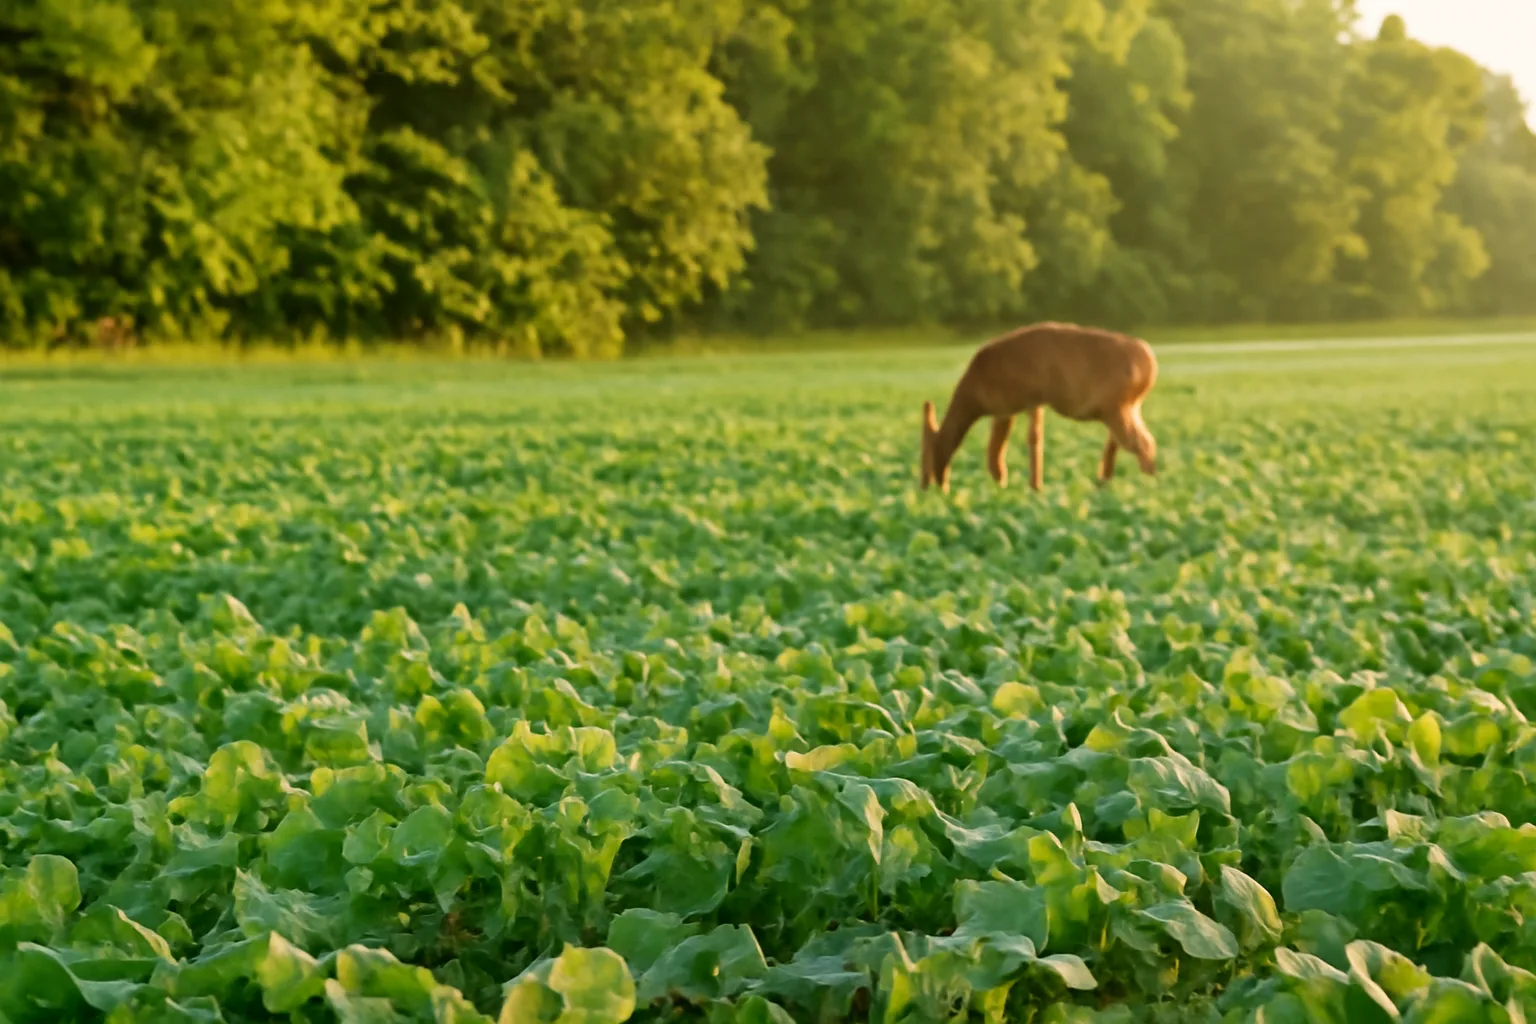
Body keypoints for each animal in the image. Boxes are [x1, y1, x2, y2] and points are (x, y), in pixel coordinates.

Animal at [920, 322, 1159, 493]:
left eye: (931, 450)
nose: (931, 486)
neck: (975, 391)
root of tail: (1149, 361)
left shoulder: (1030, 399)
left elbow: (1032, 439)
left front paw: (1035, 487)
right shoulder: (1004, 410)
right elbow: (995, 454)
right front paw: (1002, 488)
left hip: (1116, 408)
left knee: (1144, 443)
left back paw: (1147, 488)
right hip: (1123, 408)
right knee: (1124, 443)